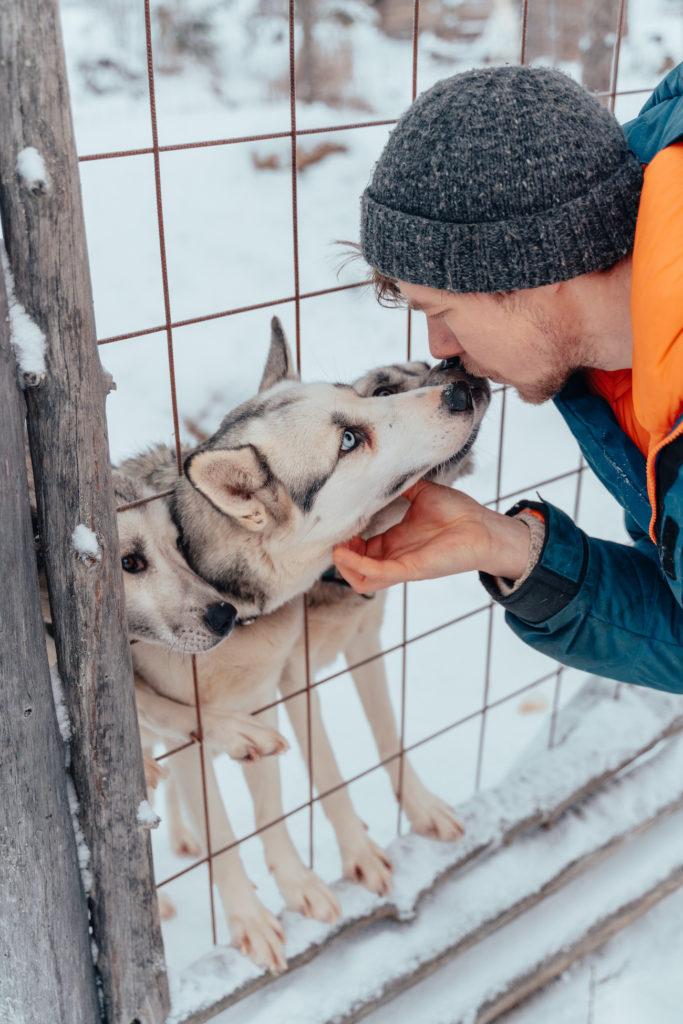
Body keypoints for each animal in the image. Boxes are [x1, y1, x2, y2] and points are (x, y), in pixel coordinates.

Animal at [129, 321, 491, 974]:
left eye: (362, 400)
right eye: (349, 440)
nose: (459, 390)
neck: (237, 612)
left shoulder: (283, 688)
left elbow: (297, 795)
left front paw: (309, 878)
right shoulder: (215, 725)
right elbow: (231, 836)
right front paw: (251, 919)